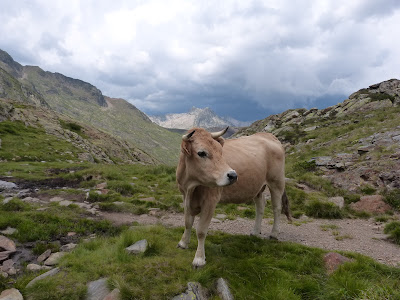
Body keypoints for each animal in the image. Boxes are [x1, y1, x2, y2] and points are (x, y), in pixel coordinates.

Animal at [176, 126, 290, 268]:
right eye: (201, 153)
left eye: (220, 151)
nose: (233, 175)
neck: (191, 186)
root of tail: (269, 135)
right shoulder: (185, 197)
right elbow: (187, 223)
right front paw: (183, 243)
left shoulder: (210, 201)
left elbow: (201, 230)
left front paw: (199, 259)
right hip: (258, 187)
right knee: (260, 206)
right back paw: (255, 231)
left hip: (277, 182)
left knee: (277, 208)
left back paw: (274, 233)